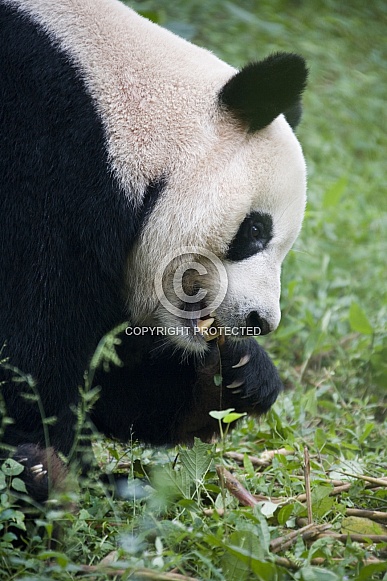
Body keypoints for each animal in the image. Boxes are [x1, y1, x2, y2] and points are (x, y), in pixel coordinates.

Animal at [0, 0, 310, 500]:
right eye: (256, 230)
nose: (260, 321)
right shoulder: (46, 156)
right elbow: (35, 345)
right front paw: (47, 469)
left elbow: (112, 381)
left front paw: (240, 376)